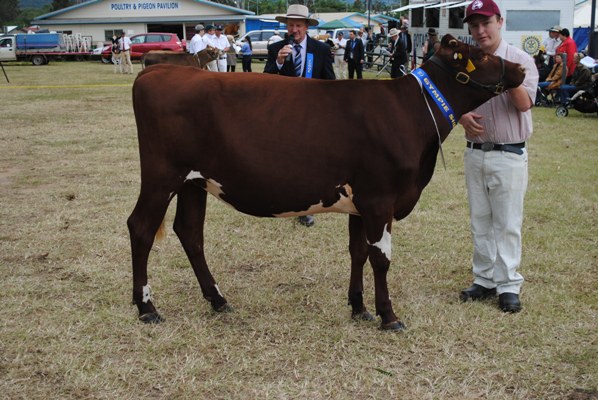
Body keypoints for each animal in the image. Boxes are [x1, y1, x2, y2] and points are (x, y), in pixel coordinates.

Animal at [130, 34, 524, 330]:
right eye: (481, 55)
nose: (521, 67)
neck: (410, 112)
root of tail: (160, 71)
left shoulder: (362, 202)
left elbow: (358, 252)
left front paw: (359, 308)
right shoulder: (380, 198)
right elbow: (381, 258)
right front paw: (389, 316)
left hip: (193, 183)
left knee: (190, 232)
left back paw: (218, 300)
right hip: (161, 176)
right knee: (141, 227)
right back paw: (147, 309)